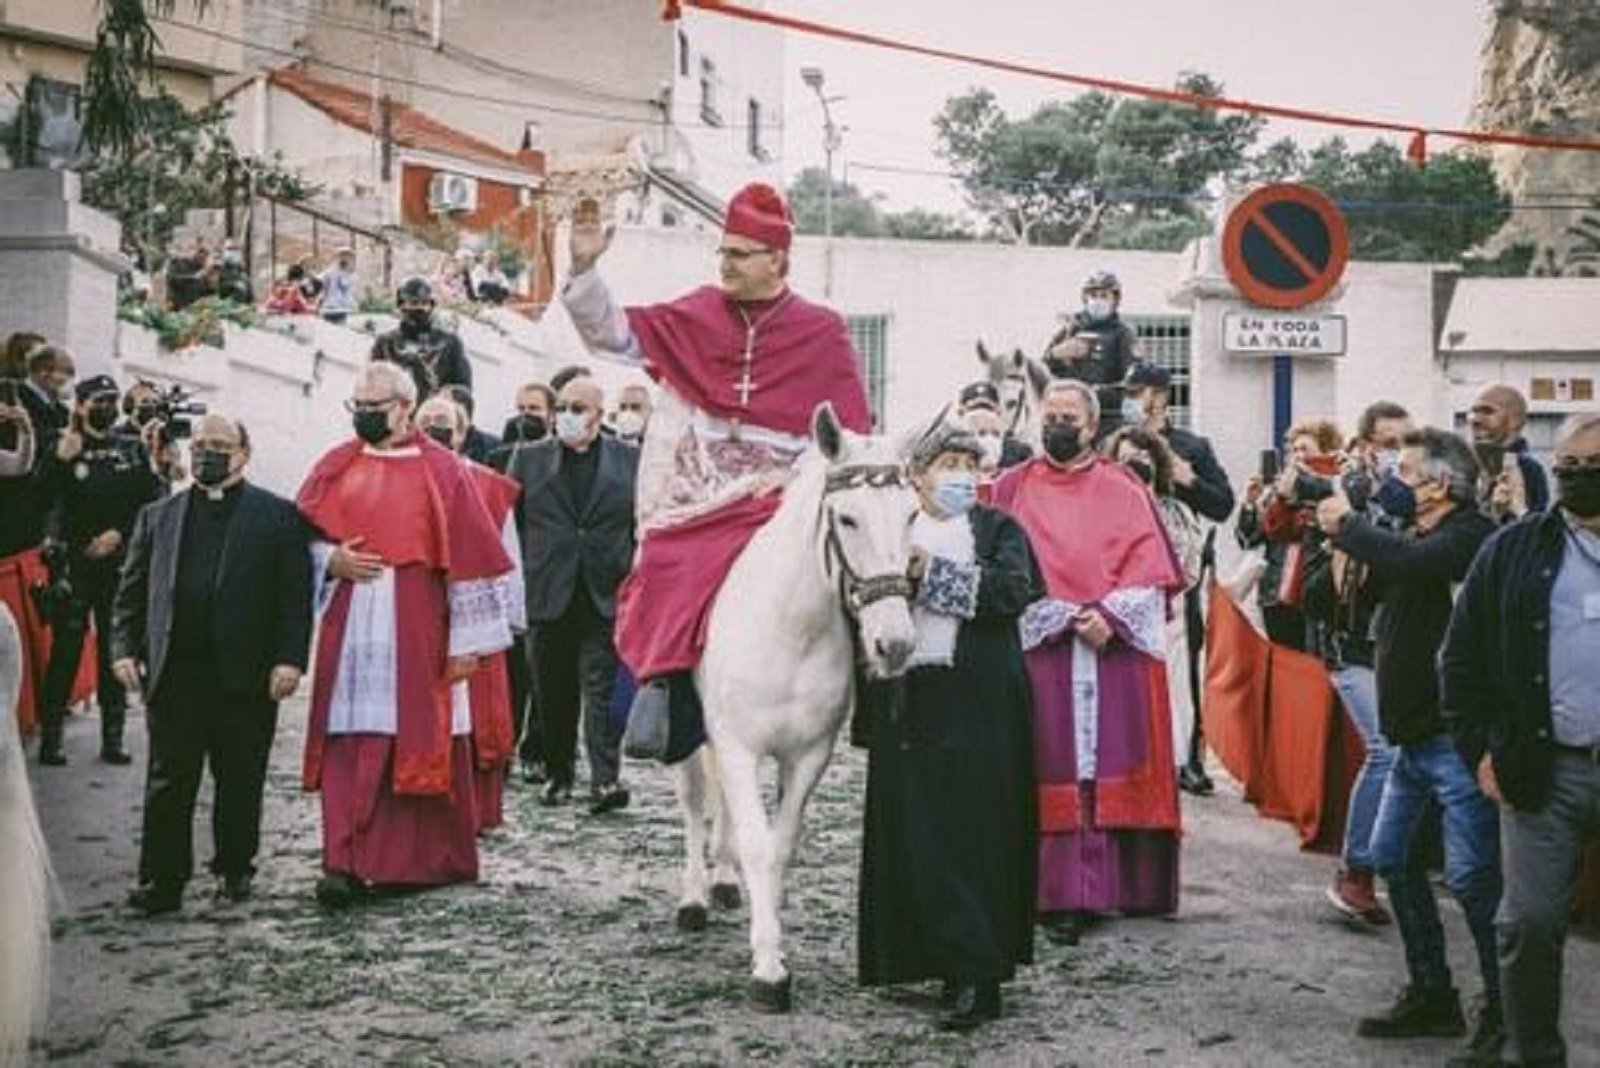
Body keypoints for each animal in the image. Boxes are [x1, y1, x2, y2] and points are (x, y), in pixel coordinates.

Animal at [668, 399, 915, 1010]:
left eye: (911, 516)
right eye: (847, 519)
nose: (895, 644)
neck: (789, 627)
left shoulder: (807, 754)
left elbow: (779, 846)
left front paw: (771, 937)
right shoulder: (736, 744)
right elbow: (757, 843)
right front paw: (768, 970)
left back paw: (725, 882)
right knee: (695, 799)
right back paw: (694, 896)